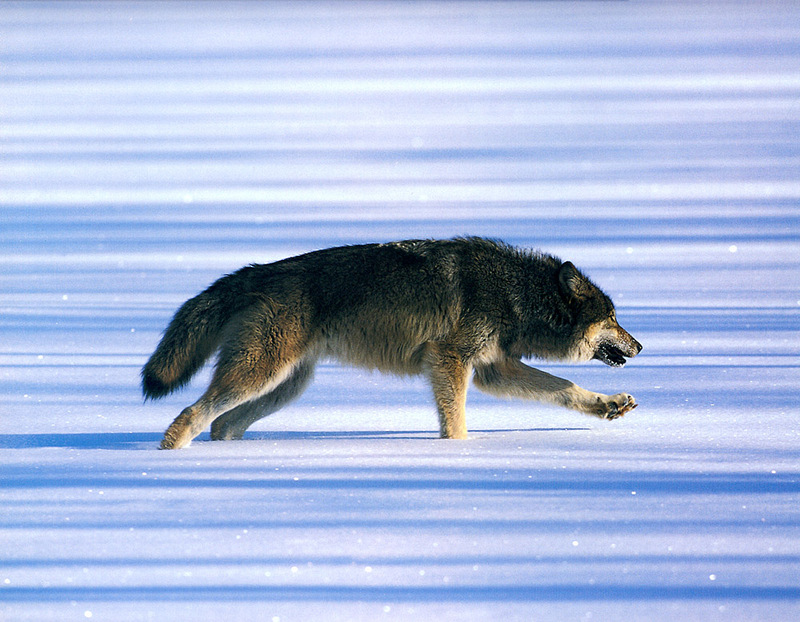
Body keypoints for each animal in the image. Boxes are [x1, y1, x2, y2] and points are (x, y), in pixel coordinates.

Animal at [144, 238, 640, 448]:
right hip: (259, 376)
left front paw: (608, 405)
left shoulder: (493, 370)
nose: (640, 346)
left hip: (283, 387)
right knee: (192, 414)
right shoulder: (450, 359)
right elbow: (455, 423)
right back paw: (172, 456)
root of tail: (254, 272)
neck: (514, 292)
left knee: (222, 426)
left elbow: (564, 388)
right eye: (613, 320)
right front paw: (458, 454)